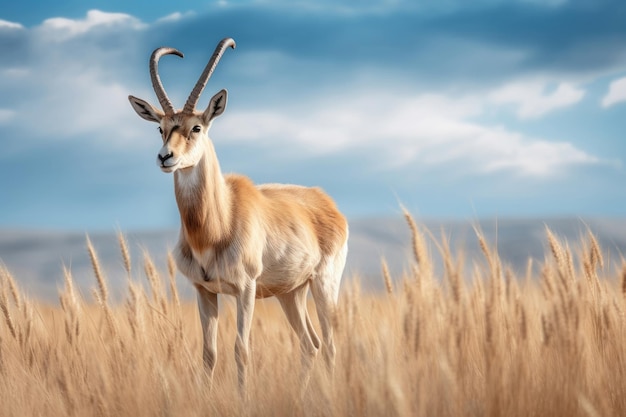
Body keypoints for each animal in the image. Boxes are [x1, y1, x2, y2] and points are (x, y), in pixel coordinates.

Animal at [127, 39, 348, 386]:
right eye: (159, 129)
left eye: (196, 127)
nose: (166, 157)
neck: (216, 226)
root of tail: (325, 202)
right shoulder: (205, 292)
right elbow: (209, 354)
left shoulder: (246, 290)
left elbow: (241, 351)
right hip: (291, 293)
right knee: (309, 345)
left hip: (324, 285)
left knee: (329, 346)